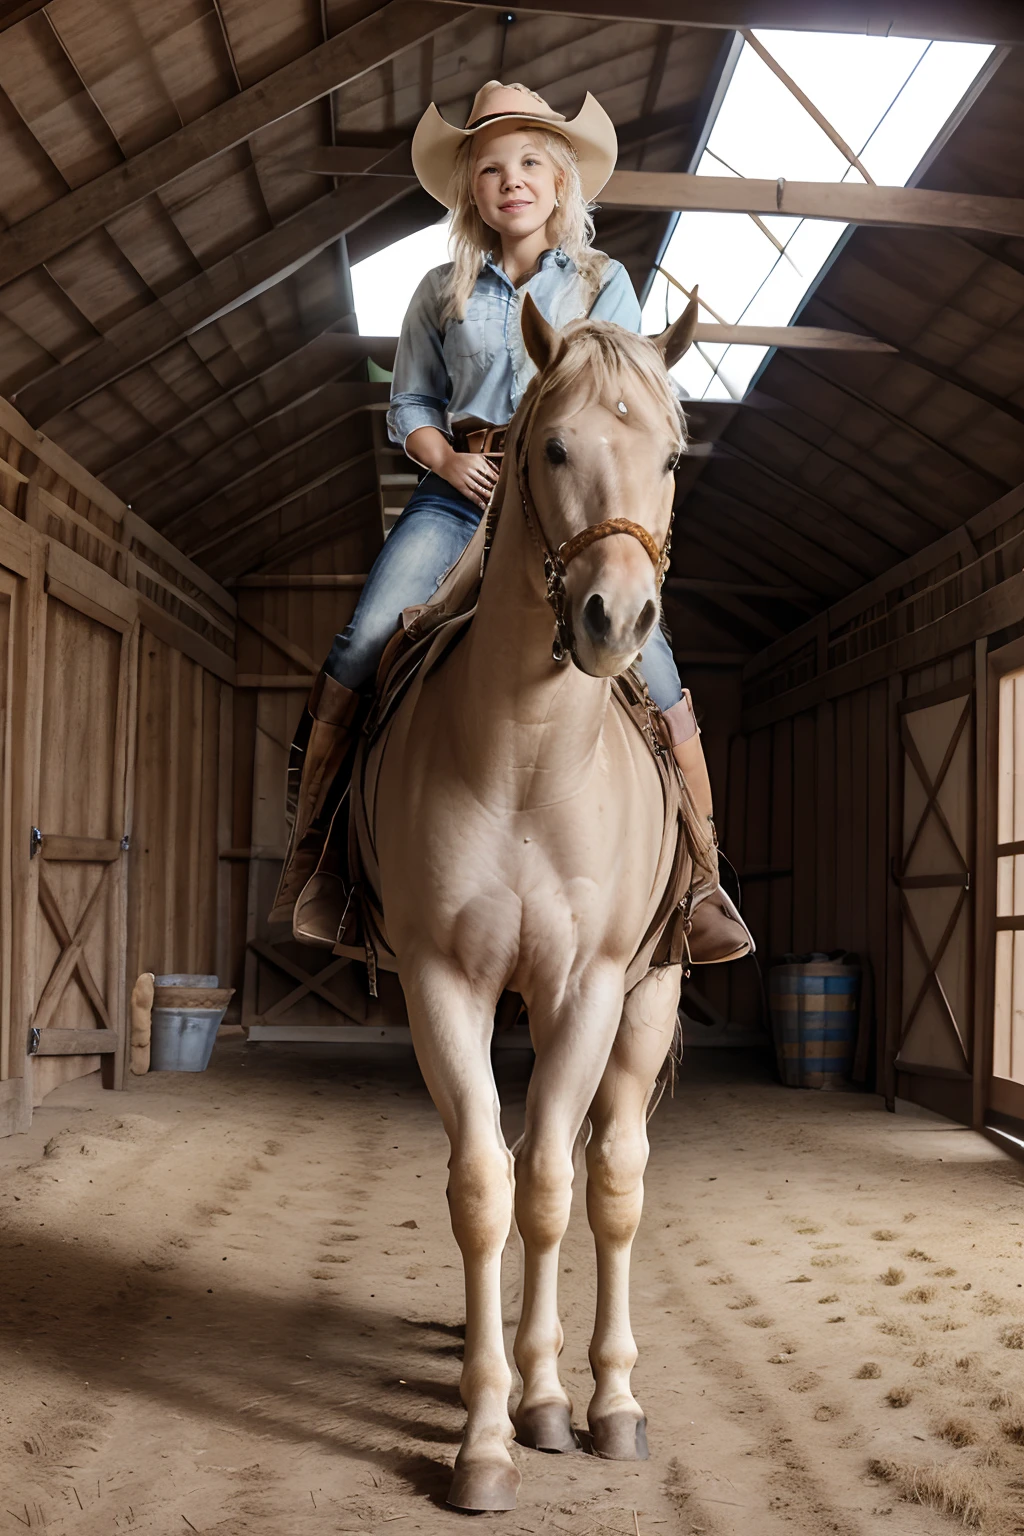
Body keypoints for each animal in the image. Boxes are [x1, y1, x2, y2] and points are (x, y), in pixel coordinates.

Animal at [362, 290, 706, 1511]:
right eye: (551, 447)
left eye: (672, 457)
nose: (617, 620)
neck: (523, 761)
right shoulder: (443, 985)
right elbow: (484, 1186)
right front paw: (482, 1437)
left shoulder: (589, 988)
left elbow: (557, 1186)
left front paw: (548, 1404)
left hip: (646, 1004)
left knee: (610, 1179)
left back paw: (600, 1397)